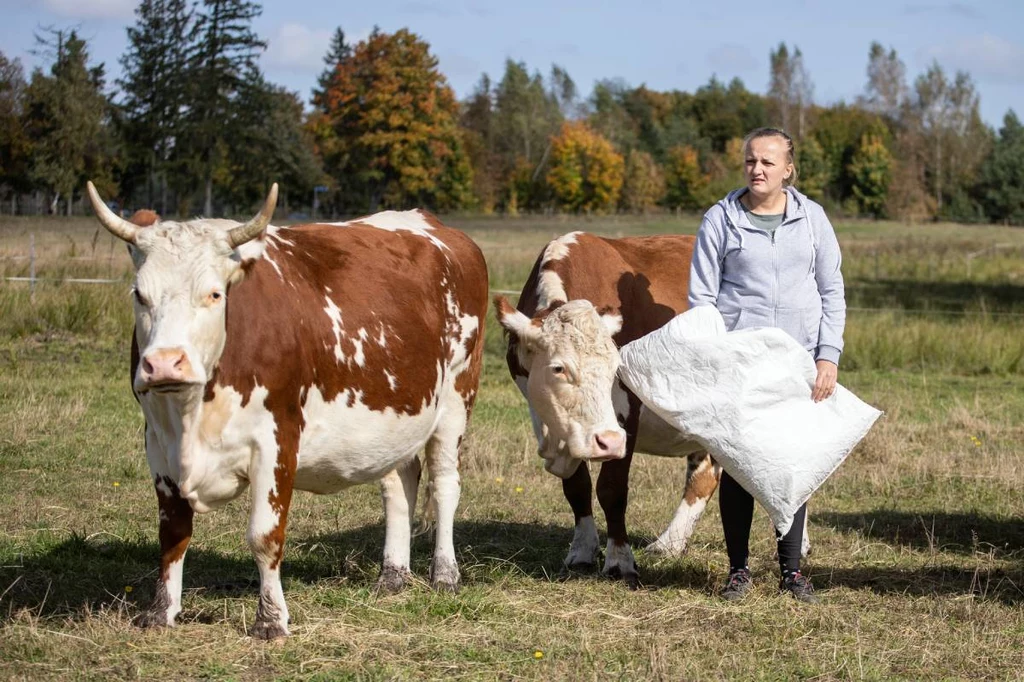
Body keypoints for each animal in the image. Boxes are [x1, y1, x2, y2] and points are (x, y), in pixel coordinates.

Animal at [499, 231, 811, 585]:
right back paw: (669, 543)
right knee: (704, 475)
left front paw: (619, 560)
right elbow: (577, 486)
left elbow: (612, 489)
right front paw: (582, 550)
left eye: (616, 368)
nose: (608, 441)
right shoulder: (556, 421)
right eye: (558, 368)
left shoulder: (625, 415)